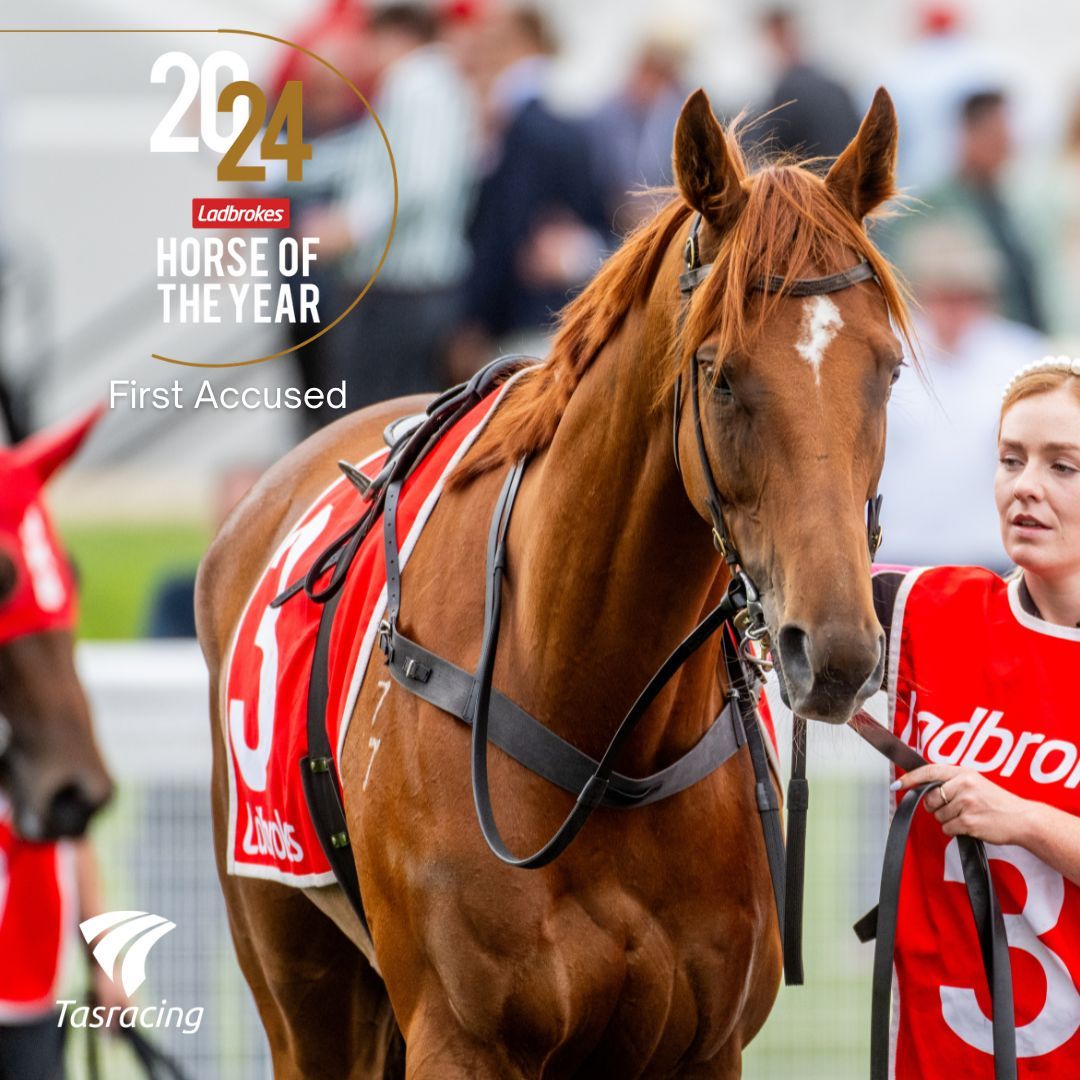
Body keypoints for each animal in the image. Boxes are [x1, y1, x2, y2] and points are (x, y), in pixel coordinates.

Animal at [198, 87, 911, 1077]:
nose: (835, 651)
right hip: (299, 986)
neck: (604, 733)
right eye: (722, 375)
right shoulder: (461, 1039)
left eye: (886, 369)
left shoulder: (703, 1048)